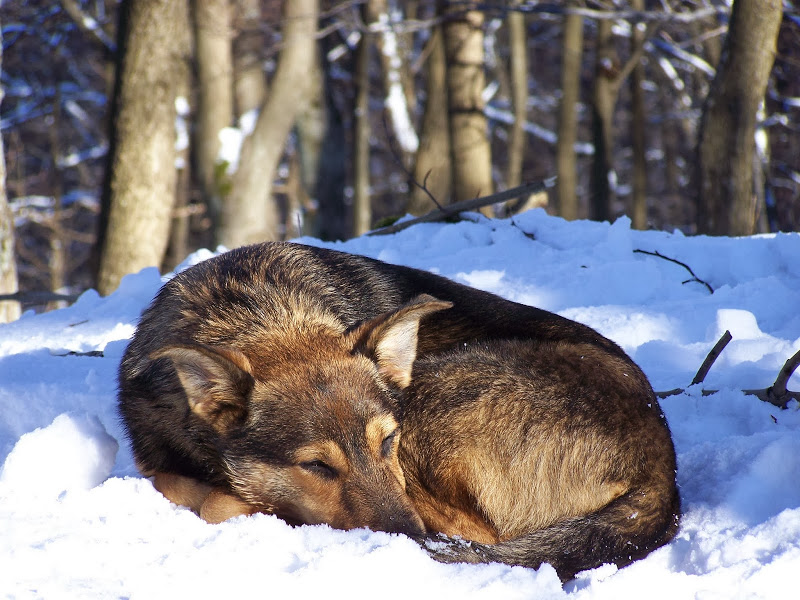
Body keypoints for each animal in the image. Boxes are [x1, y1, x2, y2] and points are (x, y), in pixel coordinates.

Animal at [120, 241, 680, 580]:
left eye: (388, 441)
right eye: (316, 466)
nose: (406, 542)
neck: (255, 311)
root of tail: (663, 468)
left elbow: (213, 502)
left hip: (437, 390)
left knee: (475, 533)